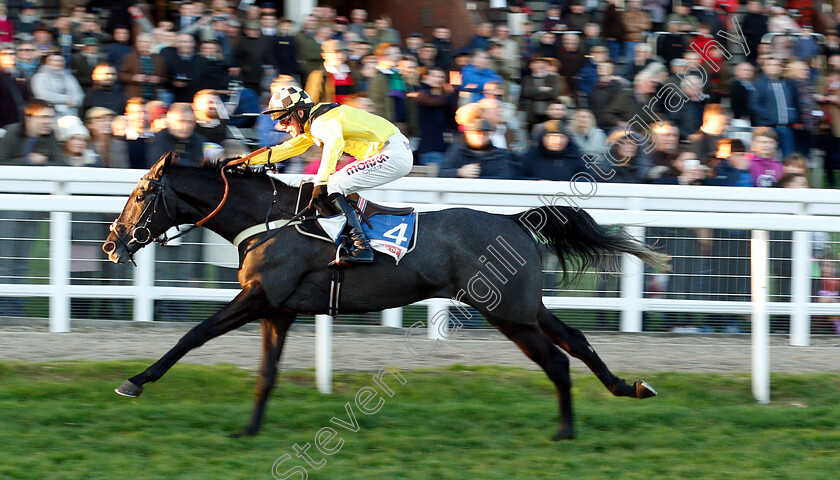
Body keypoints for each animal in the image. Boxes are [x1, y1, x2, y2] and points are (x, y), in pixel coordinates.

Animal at [103, 153, 668, 438]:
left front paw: (134, 381)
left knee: (557, 360)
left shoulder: (260, 299)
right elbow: (266, 374)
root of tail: (515, 221)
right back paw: (629, 388)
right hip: (524, 307)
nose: (112, 243)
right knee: (575, 343)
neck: (268, 221)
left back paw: (567, 431)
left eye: (141, 194)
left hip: (507, 313)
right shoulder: (278, 311)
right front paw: (249, 429)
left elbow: (193, 335)